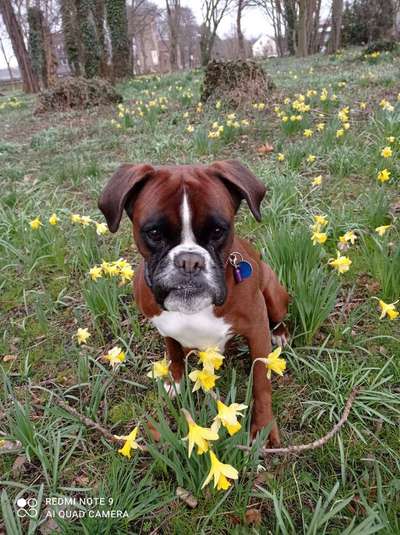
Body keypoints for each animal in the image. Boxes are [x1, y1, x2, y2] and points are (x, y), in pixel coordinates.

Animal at [99, 161, 290, 446]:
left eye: (218, 231)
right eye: (154, 233)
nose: (189, 261)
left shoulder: (257, 330)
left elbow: (261, 381)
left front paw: (264, 427)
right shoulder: (165, 327)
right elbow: (173, 352)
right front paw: (175, 381)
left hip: (274, 295)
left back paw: (279, 333)